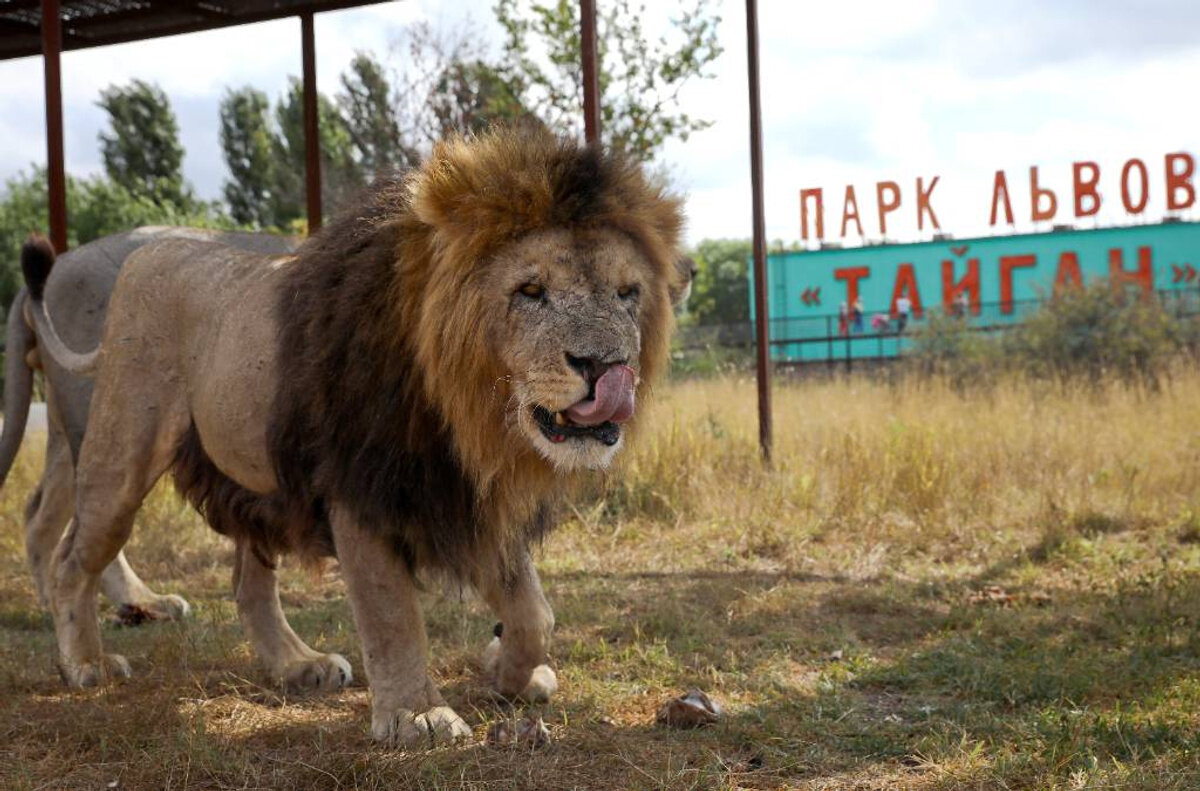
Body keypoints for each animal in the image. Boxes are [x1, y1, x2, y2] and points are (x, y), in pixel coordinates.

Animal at [25, 126, 686, 744]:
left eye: (627, 293)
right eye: (530, 291)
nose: (605, 366)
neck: (469, 410)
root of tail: (148, 253)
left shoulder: (469, 495)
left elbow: (534, 614)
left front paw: (507, 671)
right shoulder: (361, 483)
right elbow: (391, 613)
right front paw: (418, 715)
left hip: (254, 483)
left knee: (246, 583)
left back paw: (298, 666)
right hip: (120, 454)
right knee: (71, 554)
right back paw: (85, 663)